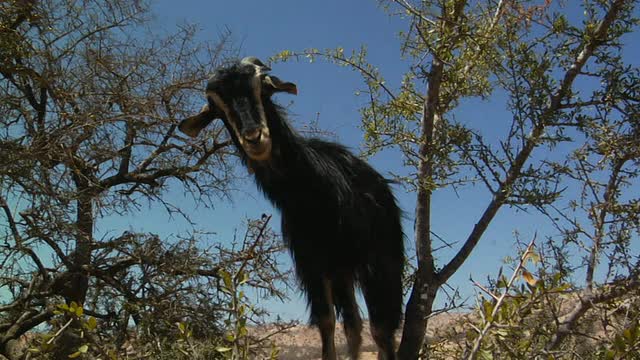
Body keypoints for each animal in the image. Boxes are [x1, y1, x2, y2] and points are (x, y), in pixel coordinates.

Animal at [178, 57, 402, 358]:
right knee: (353, 324)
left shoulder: (375, 261)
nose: (254, 137)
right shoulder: (311, 263)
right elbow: (326, 322)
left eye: (263, 87)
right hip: (340, 272)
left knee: (376, 328)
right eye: (216, 107)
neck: (316, 198)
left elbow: (380, 329)